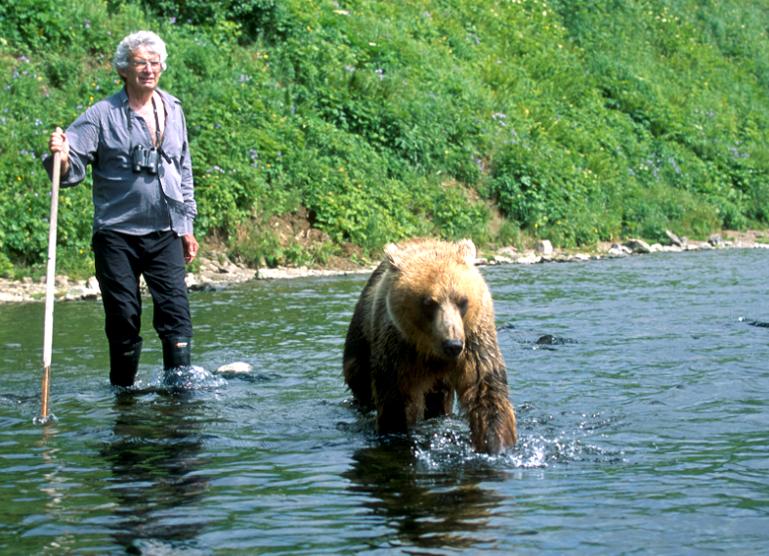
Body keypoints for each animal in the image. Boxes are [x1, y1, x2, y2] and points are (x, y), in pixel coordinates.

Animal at [343, 238, 517, 454]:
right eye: (429, 303)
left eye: (462, 301)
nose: (453, 344)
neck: (431, 350)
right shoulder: (398, 349)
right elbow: (395, 401)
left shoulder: (474, 342)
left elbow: (486, 391)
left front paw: (496, 445)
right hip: (361, 339)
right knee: (358, 377)